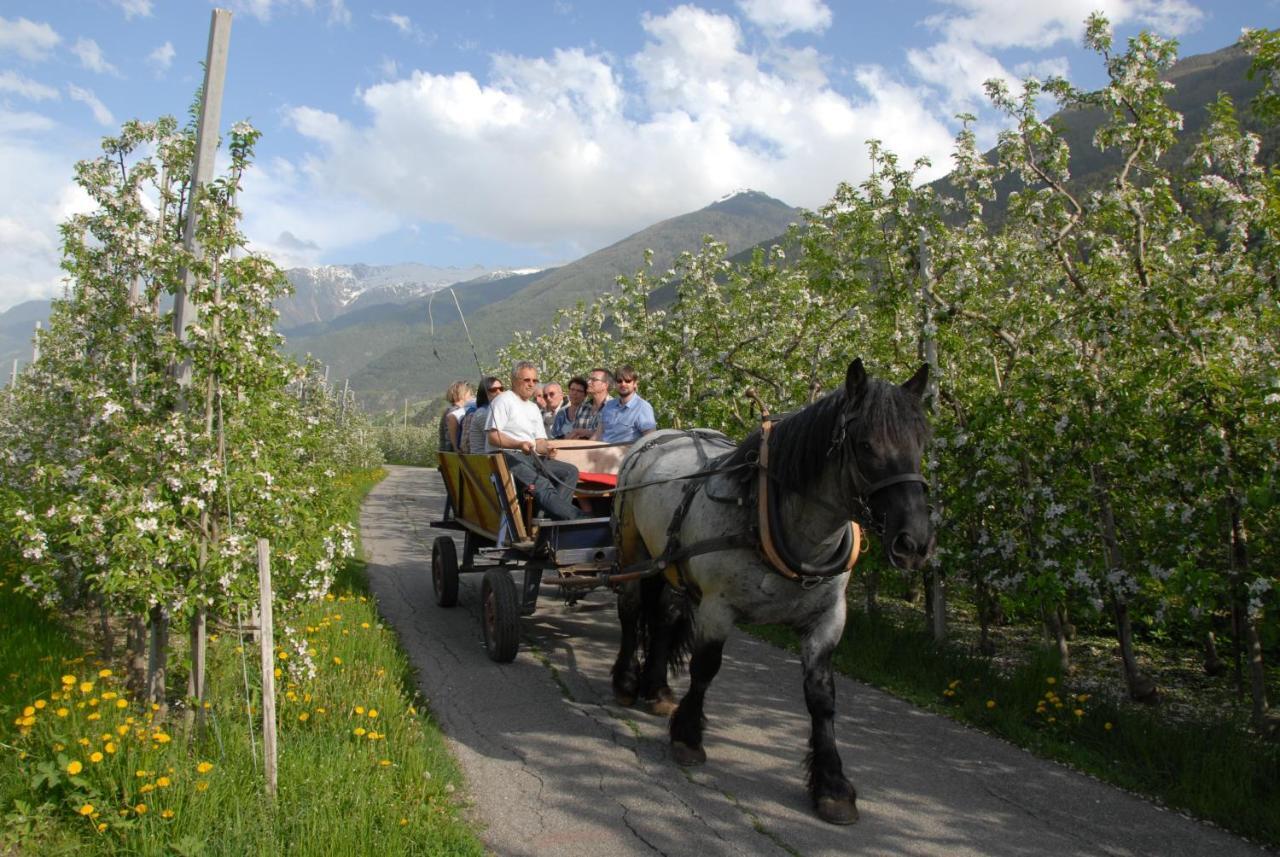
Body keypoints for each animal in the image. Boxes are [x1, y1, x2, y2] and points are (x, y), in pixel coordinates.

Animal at [609, 358, 931, 823]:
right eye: (866, 445)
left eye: (921, 443)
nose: (915, 543)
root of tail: (657, 438)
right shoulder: (718, 608)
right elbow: (705, 669)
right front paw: (688, 737)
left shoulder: (828, 619)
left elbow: (822, 697)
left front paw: (832, 785)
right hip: (632, 549)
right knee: (632, 611)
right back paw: (626, 680)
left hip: (670, 563)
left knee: (665, 617)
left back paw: (657, 689)